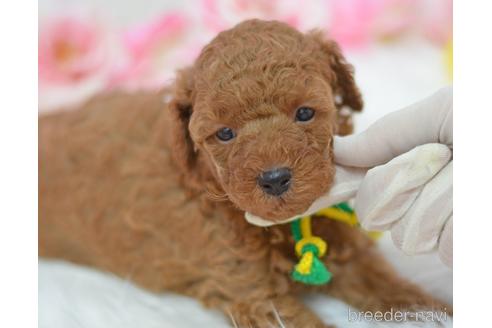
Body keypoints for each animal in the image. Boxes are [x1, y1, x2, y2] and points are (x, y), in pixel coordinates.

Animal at [40, 20, 452, 328]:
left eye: (305, 113)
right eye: (224, 134)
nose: (274, 178)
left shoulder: (350, 259)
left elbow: (402, 295)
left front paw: (439, 311)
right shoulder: (251, 291)